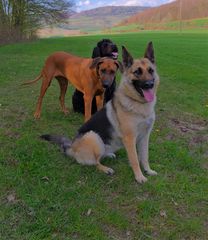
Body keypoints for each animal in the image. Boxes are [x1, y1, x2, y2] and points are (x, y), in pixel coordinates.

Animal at [41, 42, 160, 183]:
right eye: (137, 72)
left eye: (151, 70)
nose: (149, 84)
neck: (138, 104)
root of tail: (72, 146)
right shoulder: (130, 138)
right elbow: (135, 159)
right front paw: (139, 177)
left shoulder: (144, 136)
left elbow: (144, 156)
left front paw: (148, 171)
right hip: (94, 137)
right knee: (95, 162)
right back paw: (105, 169)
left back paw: (108, 154)